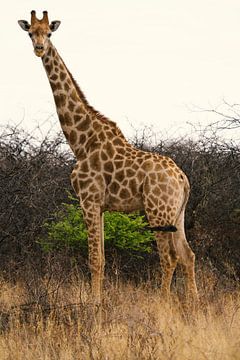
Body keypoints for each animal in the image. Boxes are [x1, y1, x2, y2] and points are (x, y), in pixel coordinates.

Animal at [18, 10, 198, 304]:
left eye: (50, 32)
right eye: (31, 33)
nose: (39, 48)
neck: (80, 142)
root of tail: (183, 179)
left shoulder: (88, 200)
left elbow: (94, 259)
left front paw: (93, 305)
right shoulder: (100, 206)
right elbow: (101, 258)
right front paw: (97, 301)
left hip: (157, 211)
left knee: (169, 257)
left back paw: (163, 303)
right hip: (177, 213)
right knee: (187, 255)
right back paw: (194, 303)